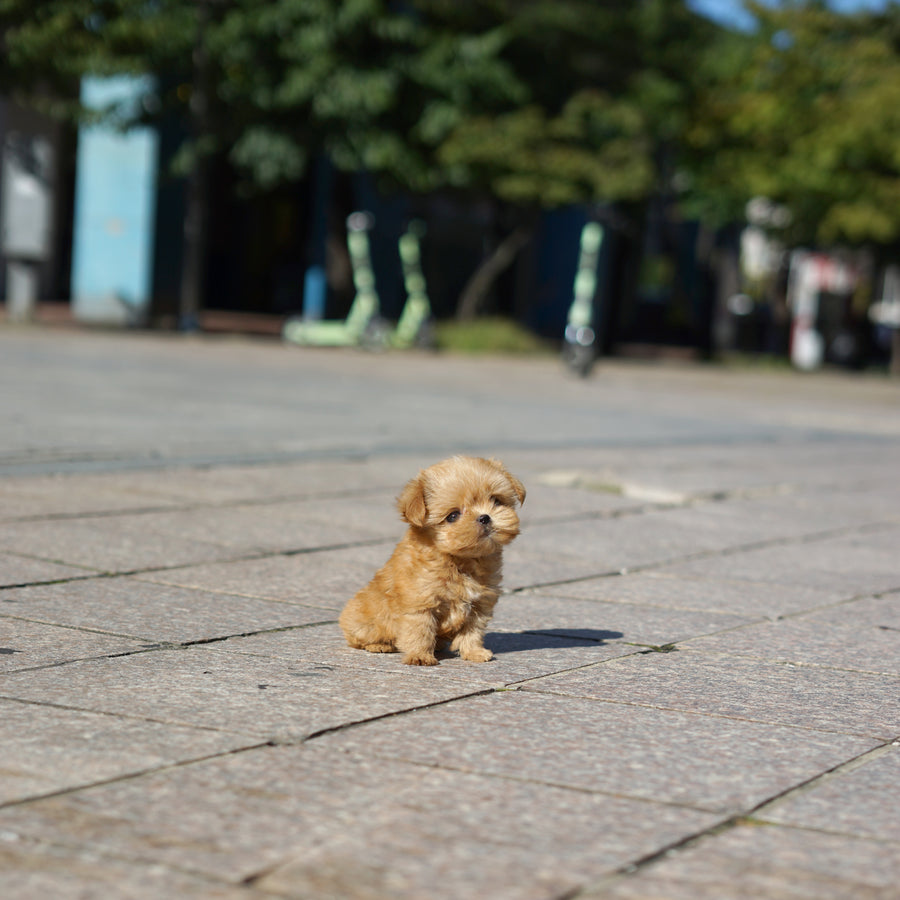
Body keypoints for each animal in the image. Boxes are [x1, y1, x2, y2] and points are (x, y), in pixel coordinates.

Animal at [342, 458, 528, 660]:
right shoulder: (420, 603)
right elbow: (420, 630)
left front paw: (474, 653)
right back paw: (379, 645)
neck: (460, 561)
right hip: (363, 622)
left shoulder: (480, 605)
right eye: (453, 516)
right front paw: (420, 656)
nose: (485, 517)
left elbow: (472, 631)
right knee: (357, 639)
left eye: (496, 500)